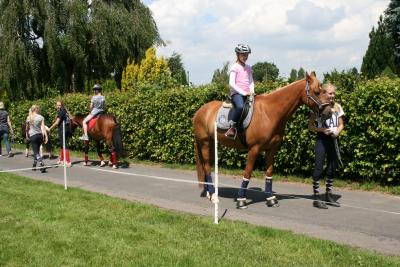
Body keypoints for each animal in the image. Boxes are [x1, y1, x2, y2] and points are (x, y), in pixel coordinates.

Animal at [192, 71, 330, 209]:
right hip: (204, 143)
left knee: (206, 166)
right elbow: (247, 173)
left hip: (211, 143)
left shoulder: (271, 149)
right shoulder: (254, 149)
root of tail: (200, 111)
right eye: (317, 91)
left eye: (323, 90)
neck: (269, 113)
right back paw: (213, 196)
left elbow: (269, 173)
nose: (329, 112)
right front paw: (241, 200)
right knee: (207, 167)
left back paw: (210, 194)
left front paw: (271, 199)